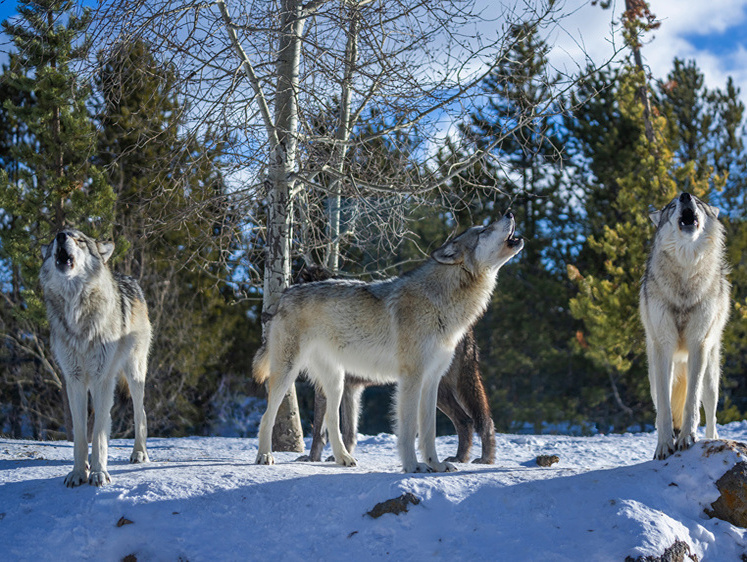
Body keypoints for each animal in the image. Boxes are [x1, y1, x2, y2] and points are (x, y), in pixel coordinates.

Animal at [39, 225, 152, 484]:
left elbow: (98, 434)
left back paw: (139, 453)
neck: (77, 312)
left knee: (140, 413)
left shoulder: (102, 378)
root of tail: (130, 279)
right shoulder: (75, 380)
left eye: (79, 240)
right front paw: (79, 473)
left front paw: (99, 474)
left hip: (133, 373)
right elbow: (82, 435)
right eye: (54, 240)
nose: (61, 236)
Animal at [254, 212, 524, 470]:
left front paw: (435, 465)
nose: (510, 213)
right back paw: (265, 456)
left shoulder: (431, 380)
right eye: (484, 230)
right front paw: (414, 466)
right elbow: (408, 429)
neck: (441, 304)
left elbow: (428, 431)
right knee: (267, 415)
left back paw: (343, 459)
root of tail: (284, 296)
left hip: (337, 382)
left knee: (331, 420)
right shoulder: (411, 378)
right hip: (288, 373)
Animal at [640, 192, 728, 460]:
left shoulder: (698, 344)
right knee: (662, 406)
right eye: (671, 206)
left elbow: (692, 402)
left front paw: (687, 438)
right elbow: (665, 410)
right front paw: (664, 446)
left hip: (711, 374)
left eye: (698, 202)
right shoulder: (663, 347)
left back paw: (712, 440)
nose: (685, 195)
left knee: (710, 413)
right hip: (654, 376)